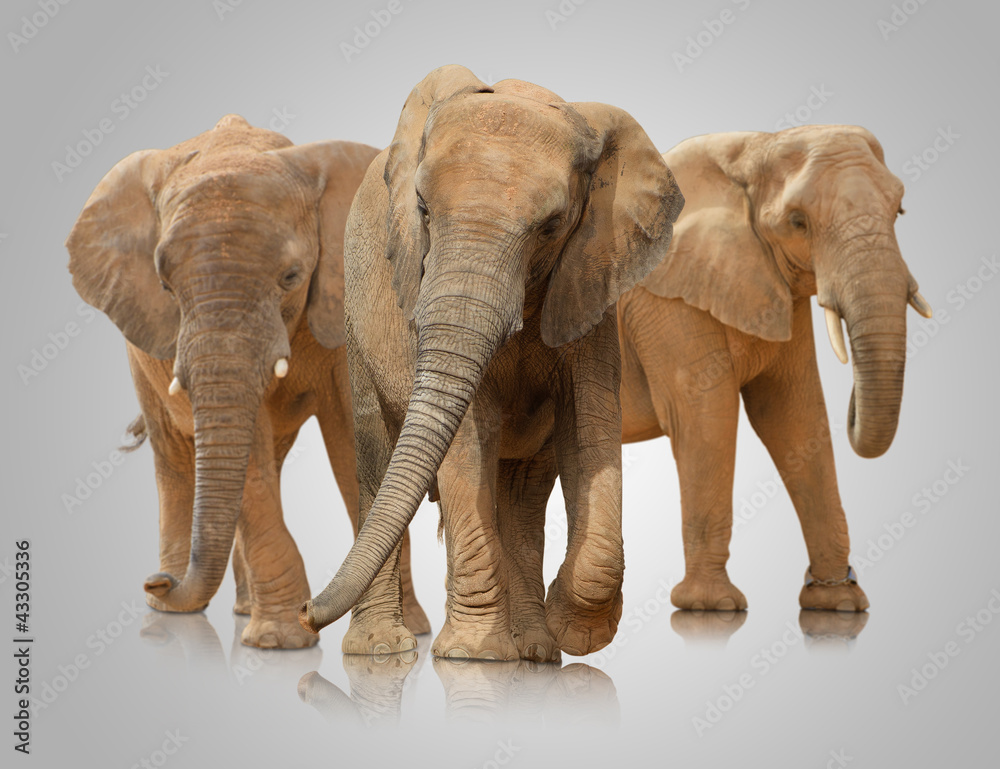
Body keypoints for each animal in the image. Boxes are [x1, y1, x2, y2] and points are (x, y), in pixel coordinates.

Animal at [66, 115, 429, 648]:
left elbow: (349, 434)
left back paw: (224, 605)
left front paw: (411, 633)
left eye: (291, 276)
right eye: (165, 285)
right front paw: (282, 642)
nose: (155, 581)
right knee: (176, 455)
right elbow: (249, 455)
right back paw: (177, 610)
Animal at [299, 66, 684, 662]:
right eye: (423, 209)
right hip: (358, 321)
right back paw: (382, 651)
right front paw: (473, 657)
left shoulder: (590, 284)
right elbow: (466, 439)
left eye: (552, 226)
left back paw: (536, 650)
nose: (304, 611)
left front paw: (571, 631)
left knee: (524, 492)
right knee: (378, 457)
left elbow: (591, 427)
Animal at [617, 125, 931, 613]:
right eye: (798, 222)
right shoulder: (661, 297)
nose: (854, 401)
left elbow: (794, 417)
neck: (751, 147)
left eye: (898, 210)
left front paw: (838, 603)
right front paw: (711, 607)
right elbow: (705, 417)